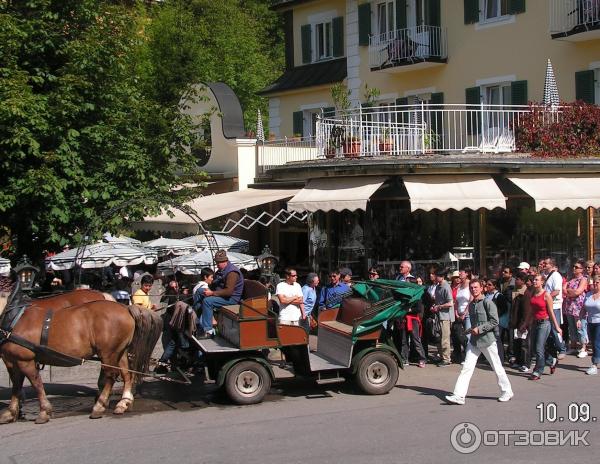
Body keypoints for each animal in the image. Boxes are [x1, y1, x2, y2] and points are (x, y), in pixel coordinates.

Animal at [0, 288, 161, 422]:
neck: (13, 319)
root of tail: (126, 308)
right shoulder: (12, 361)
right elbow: (16, 385)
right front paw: (11, 412)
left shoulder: (25, 360)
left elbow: (36, 384)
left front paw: (44, 411)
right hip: (120, 351)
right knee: (126, 374)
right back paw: (123, 402)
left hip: (108, 352)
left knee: (111, 375)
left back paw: (99, 406)